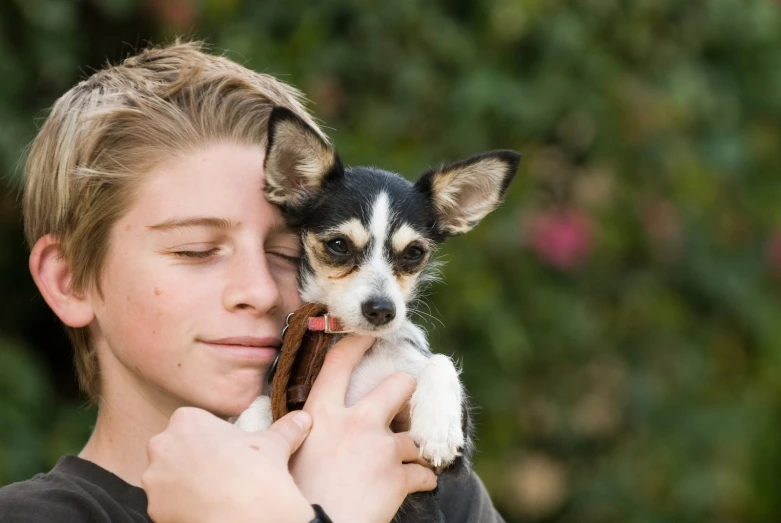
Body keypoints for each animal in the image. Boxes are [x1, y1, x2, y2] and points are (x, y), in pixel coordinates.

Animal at [236, 106, 516, 520]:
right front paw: (248, 432)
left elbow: (441, 361)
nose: (382, 310)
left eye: (414, 252)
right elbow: (261, 400)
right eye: (338, 245)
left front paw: (437, 426)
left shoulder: (454, 461)